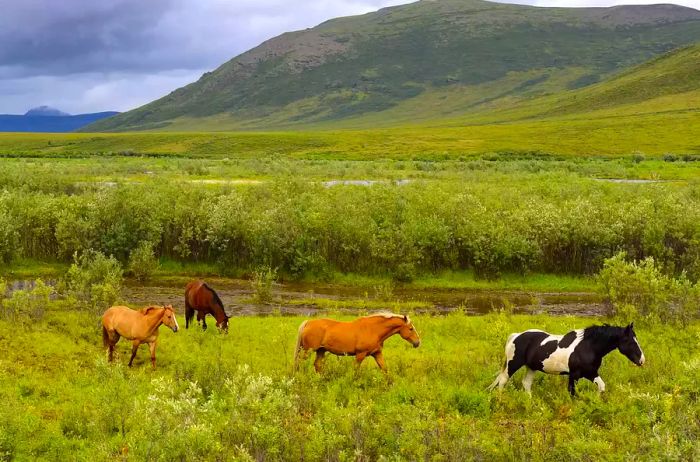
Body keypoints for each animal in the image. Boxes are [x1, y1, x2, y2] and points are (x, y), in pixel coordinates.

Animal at [294, 312, 422, 374]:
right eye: (411, 328)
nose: (417, 342)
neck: (373, 330)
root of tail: (308, 323)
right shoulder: (360, 354)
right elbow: (355, 371)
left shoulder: (377, 353)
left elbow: (385, 369)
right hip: (308, 351)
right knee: (299, 364)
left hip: (321, 351)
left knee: (317, 365)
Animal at [486, 324, 644, 396]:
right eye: (630, 342)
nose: (642, 360)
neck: (588, 346)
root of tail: (516, 335)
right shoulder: (574, 375)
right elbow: (571, 392)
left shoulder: (591, 373)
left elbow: (601, 386)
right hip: (513, 364)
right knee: (503, 381)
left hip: (531, 367)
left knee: (526, 384)